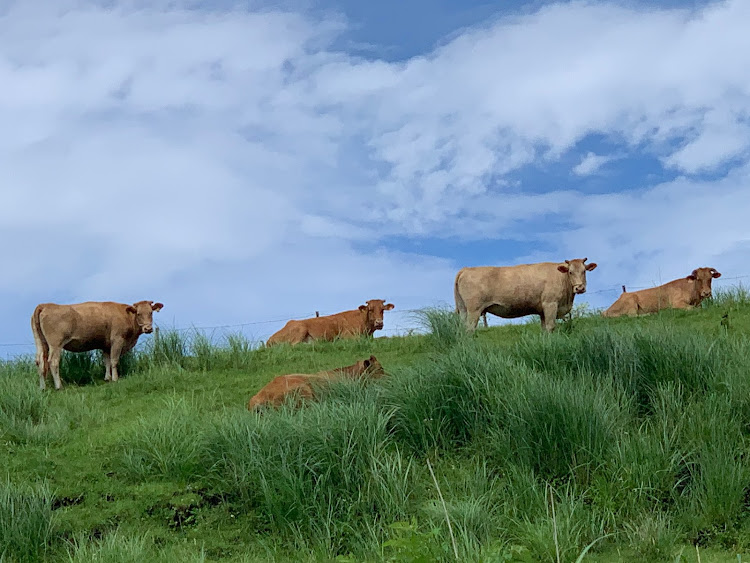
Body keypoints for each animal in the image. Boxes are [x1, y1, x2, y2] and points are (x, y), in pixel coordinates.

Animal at [31, 302, 164, 390]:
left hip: (40, 343)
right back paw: (59, 386)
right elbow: (114, 360)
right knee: (53, 362)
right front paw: (115, 378)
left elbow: (107, 361)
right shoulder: (117, 340)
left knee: (39, 362)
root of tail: (45, 305)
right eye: (139, 313)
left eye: (151, 312)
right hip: (55, 344)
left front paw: (107, 378)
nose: (148, 328)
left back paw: (42, 388)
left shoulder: (106, 345)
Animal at [452, 258, 600, 332]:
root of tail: (466, 269)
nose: (580, 288)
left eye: (584, 271)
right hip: (474, 309)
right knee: (470, 329)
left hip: (464, 309)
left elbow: (544, 328)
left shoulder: (542, 311)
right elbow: (551, 326)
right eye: (570, 272)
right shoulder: (550, 304)